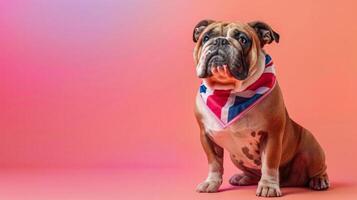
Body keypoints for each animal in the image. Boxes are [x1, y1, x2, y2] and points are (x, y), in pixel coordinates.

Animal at [192, 19, 328, 198]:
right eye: (206, 37)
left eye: (243, 39)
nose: (220, 41)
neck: (229, 92)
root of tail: (289, 181)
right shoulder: (206, 137)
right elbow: (214, 163)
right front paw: (211, 183)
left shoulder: (271, 135)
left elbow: (269, 164)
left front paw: (268, 186)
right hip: (236, 157)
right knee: (253, 173)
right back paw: (243, 178)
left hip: (312, 150)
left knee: (319, 169)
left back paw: (319, 181)